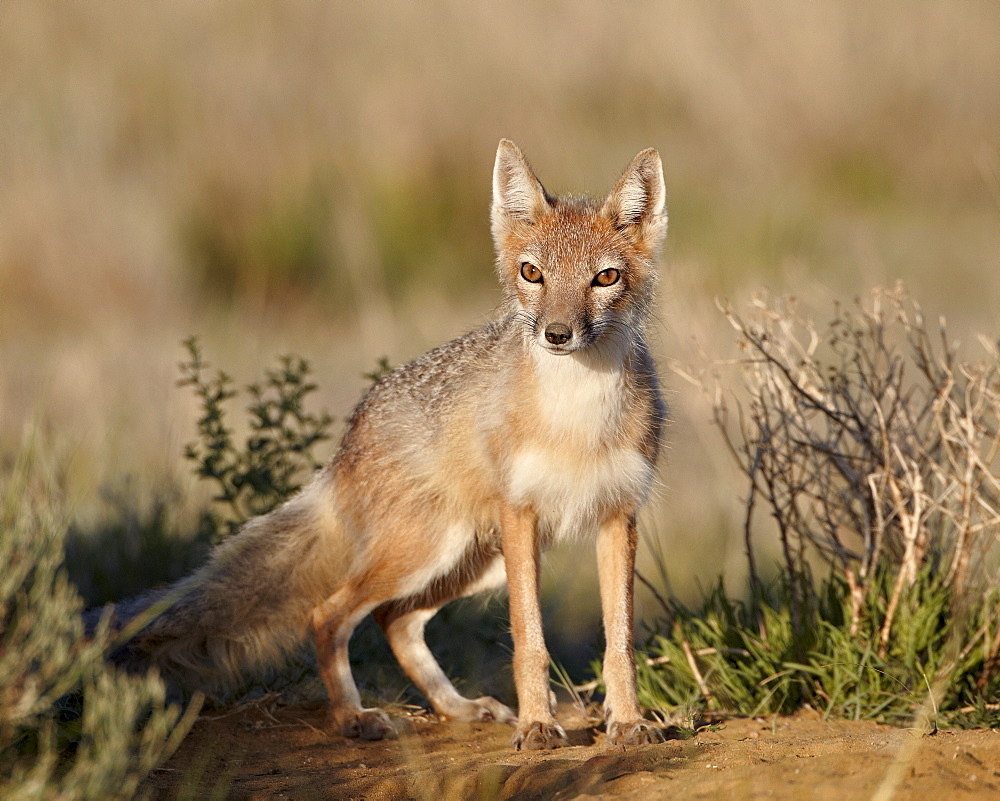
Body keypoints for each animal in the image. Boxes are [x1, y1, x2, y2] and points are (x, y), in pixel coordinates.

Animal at [113, 139, 668, 752]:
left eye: (605, 277)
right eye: (532, 273)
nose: (557, 334)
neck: (578, 419)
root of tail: (347, 439)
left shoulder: (618, 514)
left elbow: (619, 643)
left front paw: (627, 722)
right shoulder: (520, 513)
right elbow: (530, 640)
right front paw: (539, 725)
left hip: (471, 562)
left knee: (395, 622)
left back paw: (458, 707)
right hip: (430, 552)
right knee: (329, 615)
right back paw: (353, 718)